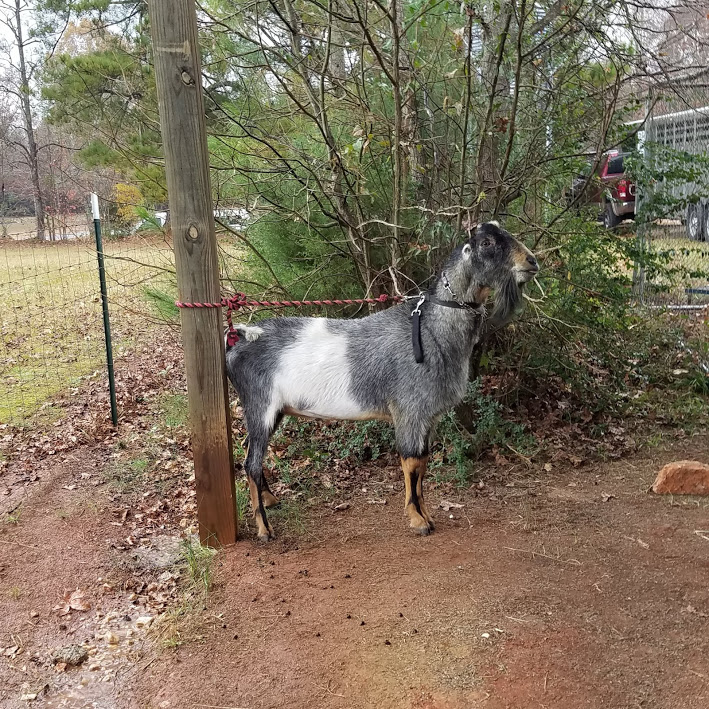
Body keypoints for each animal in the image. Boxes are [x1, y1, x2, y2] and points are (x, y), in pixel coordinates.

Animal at [227, 221, 536, 536]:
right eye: (486, 243)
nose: (531, 262)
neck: (430, 329)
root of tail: (238, 338)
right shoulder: (409, 410)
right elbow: (411, 462)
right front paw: (417, 520)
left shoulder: (428, 416)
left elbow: (423, 461)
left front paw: (427, 515)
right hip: (260, 405)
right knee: (251, 463)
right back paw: (264, 528)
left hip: (272, 411)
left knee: (251, 453)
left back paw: (270, 500)